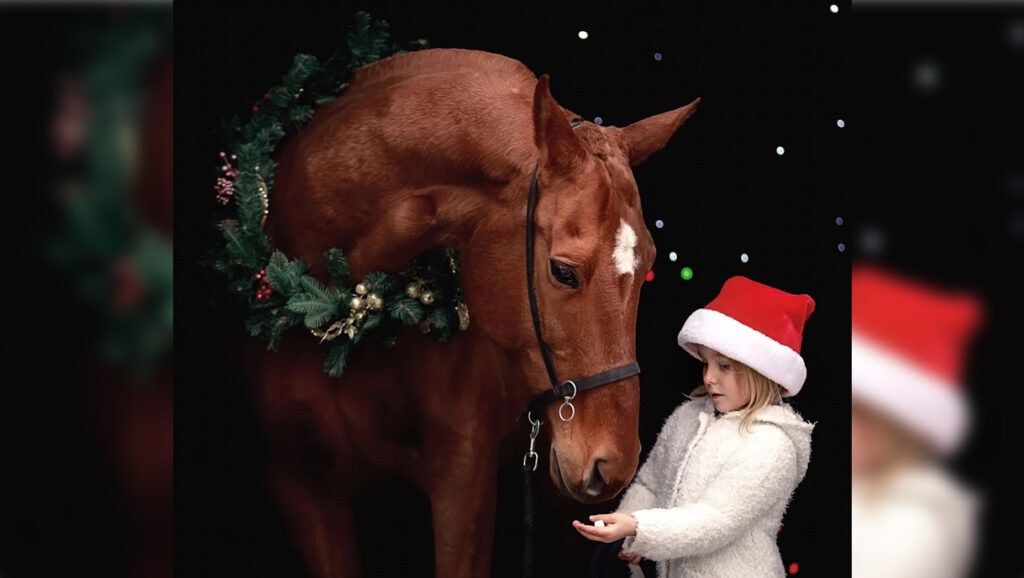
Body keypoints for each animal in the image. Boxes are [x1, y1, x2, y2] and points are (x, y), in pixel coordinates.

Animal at [245, 47, 699, 577]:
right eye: (562, 271)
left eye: (648, 265)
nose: (615, 463)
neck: (343, 325)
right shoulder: (300, 487)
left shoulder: (462, 481)